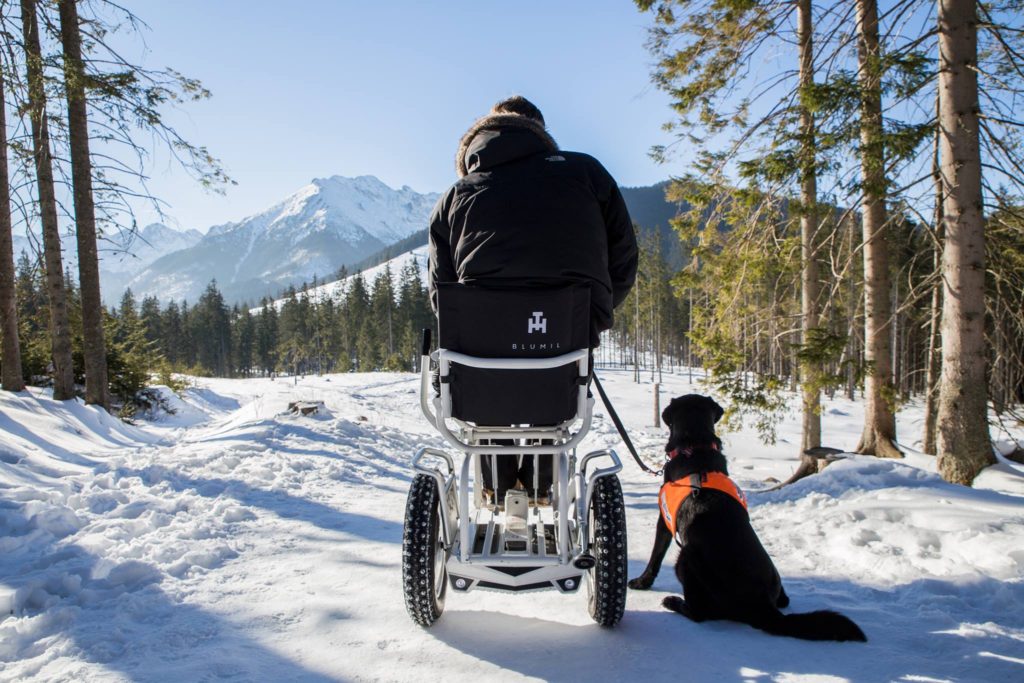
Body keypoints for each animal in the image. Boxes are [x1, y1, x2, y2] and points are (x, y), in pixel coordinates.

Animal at [626, 393, 868, 643]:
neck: (696, 447)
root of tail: (763, 605)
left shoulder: (664, 520)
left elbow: (655, 556)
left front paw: (642, 582)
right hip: (773, 579)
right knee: (784, 600)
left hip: (686, 557)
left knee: (699, 613)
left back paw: (673, 602)